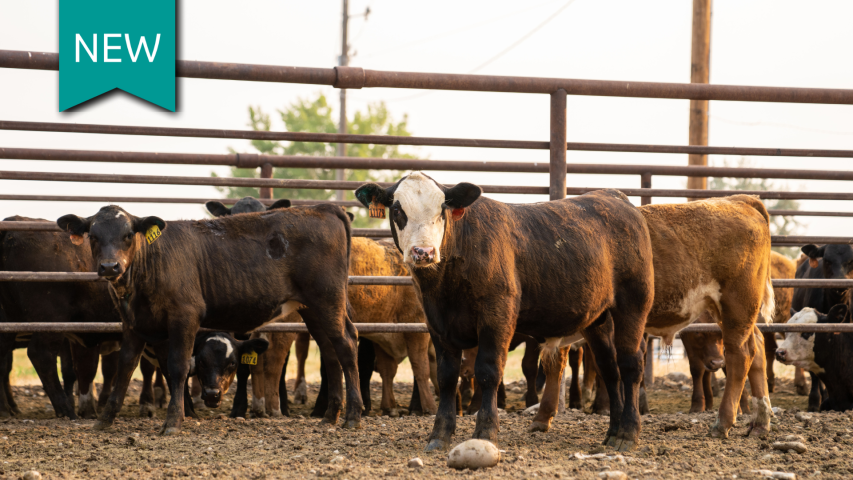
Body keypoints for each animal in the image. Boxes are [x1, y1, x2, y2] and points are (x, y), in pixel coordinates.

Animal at [58, 203, 360, 436]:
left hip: (327, 300)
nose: (110, 266)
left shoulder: (185, 318)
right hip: (314, 309)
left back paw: (353, 416)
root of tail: (323, 208)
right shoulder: (133, 325)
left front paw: (173, 421)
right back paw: (330, 415)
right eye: (93, 235)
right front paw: (104, 420)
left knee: (346, 346)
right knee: (330, 352)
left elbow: (178, 367)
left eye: (129, 234)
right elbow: (125, 368)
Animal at [352, 174, 652, 452]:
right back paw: (613, 432)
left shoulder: (496, 316)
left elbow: (488, 371)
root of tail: (614, 196)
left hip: (633, 306)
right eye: (397, 210)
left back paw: (628, 434)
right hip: (598, 320)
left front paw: (486, 431)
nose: (423, 252)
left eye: (442, 210)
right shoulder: (437, 324)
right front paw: (439, 435)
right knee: (609, 369)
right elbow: (446, 377)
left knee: (630, 365)